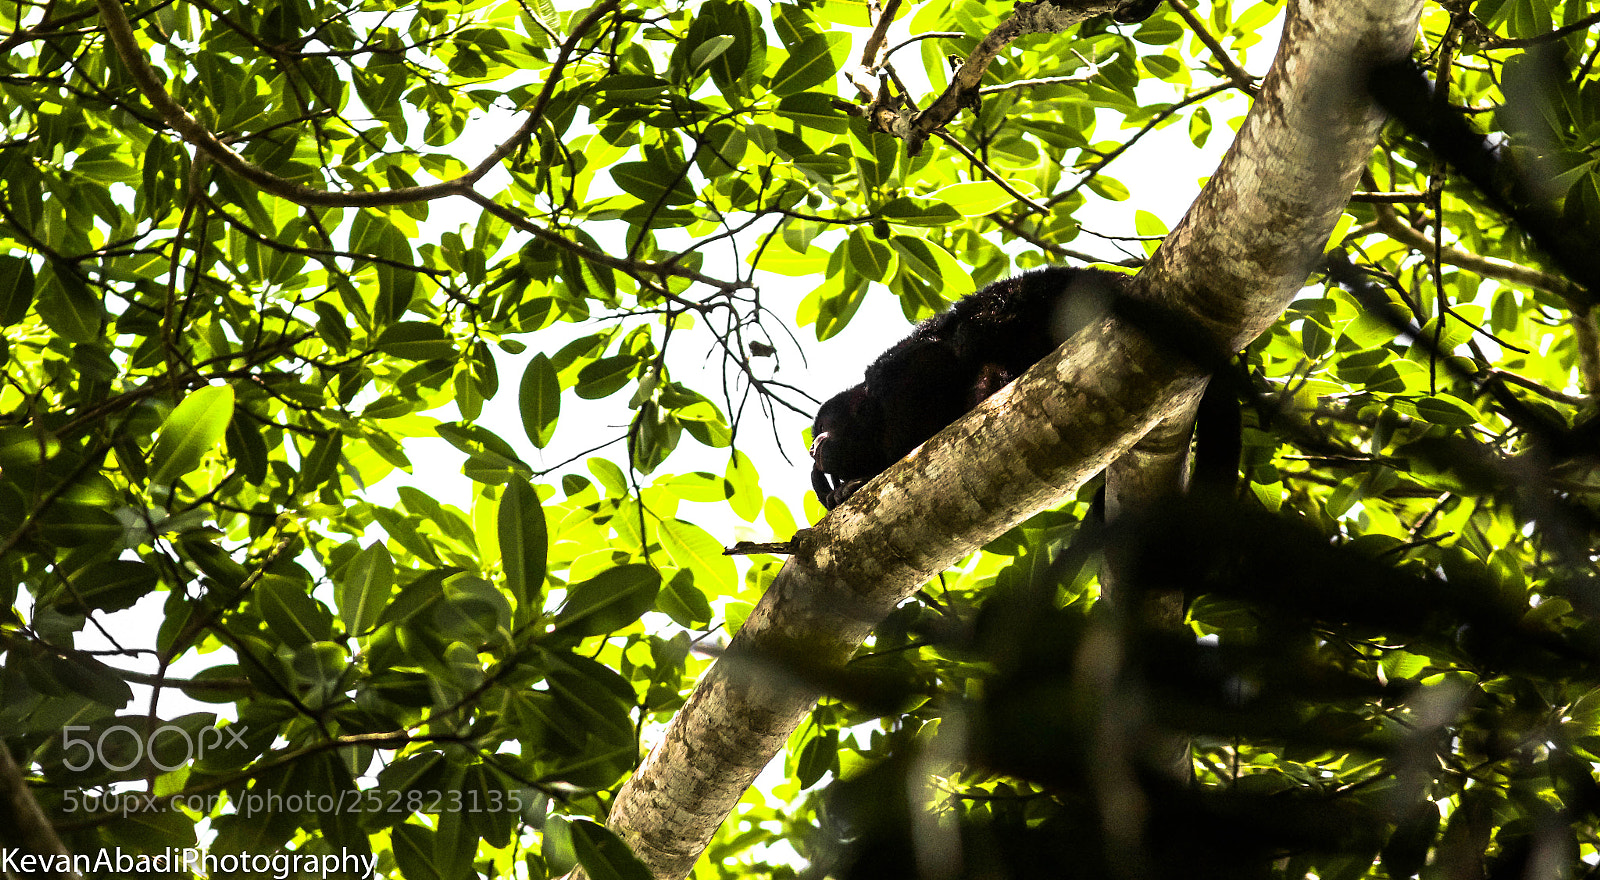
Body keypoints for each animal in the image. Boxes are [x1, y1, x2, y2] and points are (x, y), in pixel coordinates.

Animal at [809, 266, 1129, 509]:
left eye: (824, 425)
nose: (812, 448)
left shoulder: (890, 376)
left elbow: (931, 358)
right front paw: (837, 489)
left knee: (972, 328)